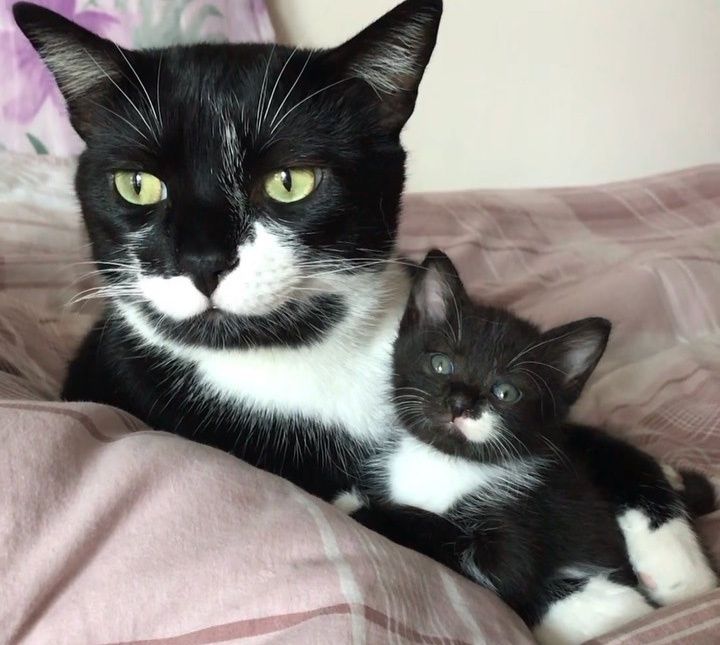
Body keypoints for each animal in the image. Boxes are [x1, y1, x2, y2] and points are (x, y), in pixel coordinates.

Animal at [348, 252, 716, 644]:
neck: (445, 462)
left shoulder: (518, 527)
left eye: (506, 392)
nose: (459, 403)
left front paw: (361, 508)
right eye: (440, 364)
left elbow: (490, 564)